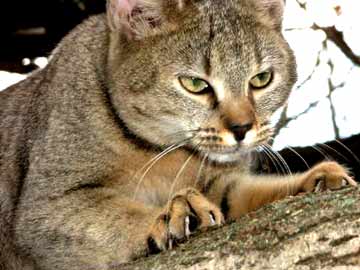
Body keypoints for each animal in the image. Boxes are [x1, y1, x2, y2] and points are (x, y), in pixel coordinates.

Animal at [0, 0, 356, 270]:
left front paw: (316, 178)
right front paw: (174, 213)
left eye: (261, 79)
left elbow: (253, 193)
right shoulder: (44, 209)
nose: (242, 128)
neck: (162, 153)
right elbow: (117, 214)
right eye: (195, 84)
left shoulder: (223, 183)